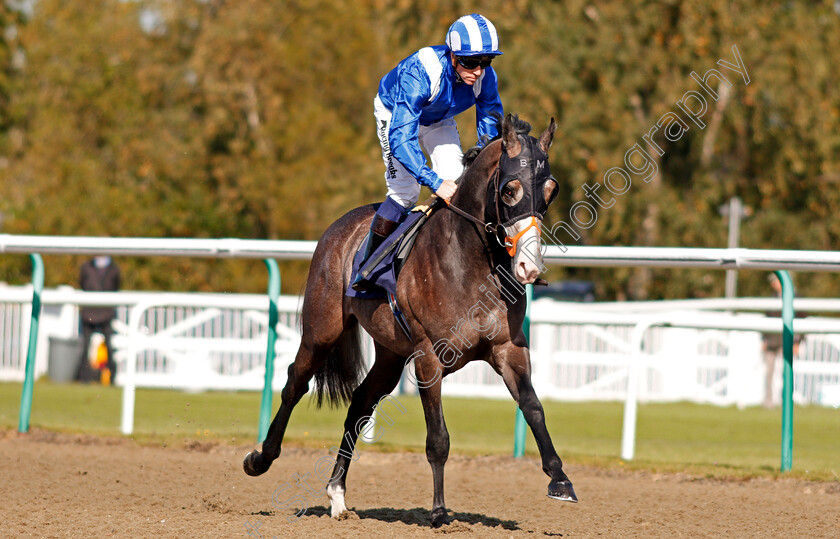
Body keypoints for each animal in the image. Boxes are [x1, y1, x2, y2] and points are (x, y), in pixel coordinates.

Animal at [240, 114, 576, 528]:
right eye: (510, 188)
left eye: (551, 190)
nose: (530, 266)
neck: (470, 262)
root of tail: (341, 225)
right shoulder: (429, 356)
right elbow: (438, 439)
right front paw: (439, 511)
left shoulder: (508, 348)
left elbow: (533, 407)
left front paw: (560, 479)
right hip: (321, 330)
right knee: (294, 384)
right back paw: (260, 459)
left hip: (390, 353)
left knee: (359, 405)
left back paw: (337, 495)